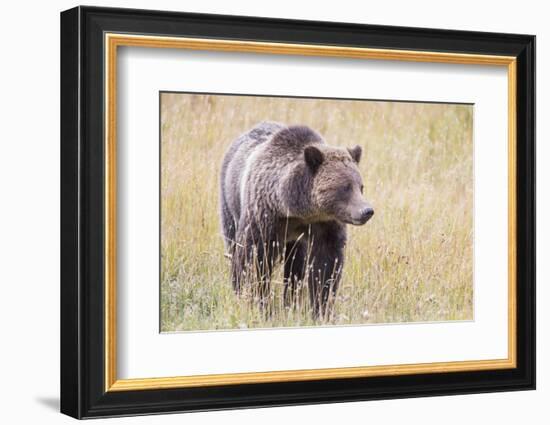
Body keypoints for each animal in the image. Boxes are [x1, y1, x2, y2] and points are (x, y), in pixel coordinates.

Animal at [220, 121, 376, 316]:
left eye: (360, 186)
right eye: (345, 187)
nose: (367, 211)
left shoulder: (324, 225)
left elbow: (325, 265)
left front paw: (321, 308)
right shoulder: (263, 216)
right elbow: (252, 260)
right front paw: (257, 302)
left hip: (296, 242)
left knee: (295, 268)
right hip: (230, 203)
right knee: (233, 244)